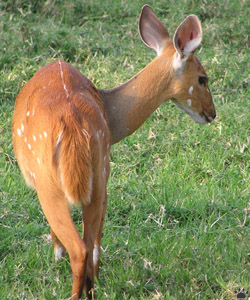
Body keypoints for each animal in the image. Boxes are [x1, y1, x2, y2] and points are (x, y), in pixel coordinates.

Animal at [12, 5, 215, 300]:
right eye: (202, 78)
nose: (212, 113)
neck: (111, 110)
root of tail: (72, 125)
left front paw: (56, 254)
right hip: (99, 174)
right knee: (91, 244)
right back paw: (91, 289)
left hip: (48, 181)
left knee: (79, 248)